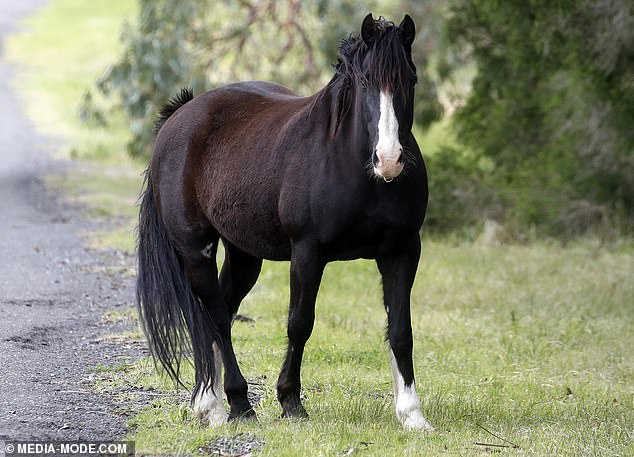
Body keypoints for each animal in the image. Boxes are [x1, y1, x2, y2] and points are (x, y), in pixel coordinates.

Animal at [133, 12, 430, 430]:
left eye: (411, 80)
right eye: (366, 82)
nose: (389, 160)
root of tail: (180, 115)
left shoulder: (402, 251)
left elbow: (401, 330)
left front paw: (412, 415)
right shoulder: (307, 253)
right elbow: (299, 323)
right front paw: (291, 401)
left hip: (244, 255)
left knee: (221, 311)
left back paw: (208, 402)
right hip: (196, 251)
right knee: (216, 318)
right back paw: (235, 404)